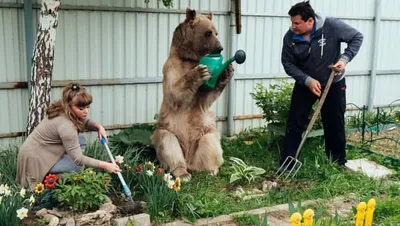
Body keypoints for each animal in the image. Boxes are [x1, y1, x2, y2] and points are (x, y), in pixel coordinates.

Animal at [152, 7, 236, 182]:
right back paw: (182, 173)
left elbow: (205, 98)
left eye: (216, 32)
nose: (220, 48)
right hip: (170, 132)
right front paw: (199, 72)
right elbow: (174, 93)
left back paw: (211, 170)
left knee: (210, 143)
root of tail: (189, 159)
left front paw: (226, 72)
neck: (190, 59)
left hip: (205, 132)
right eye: (208, 32)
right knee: (167, 143)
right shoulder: (172, 67)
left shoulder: (202, 95)